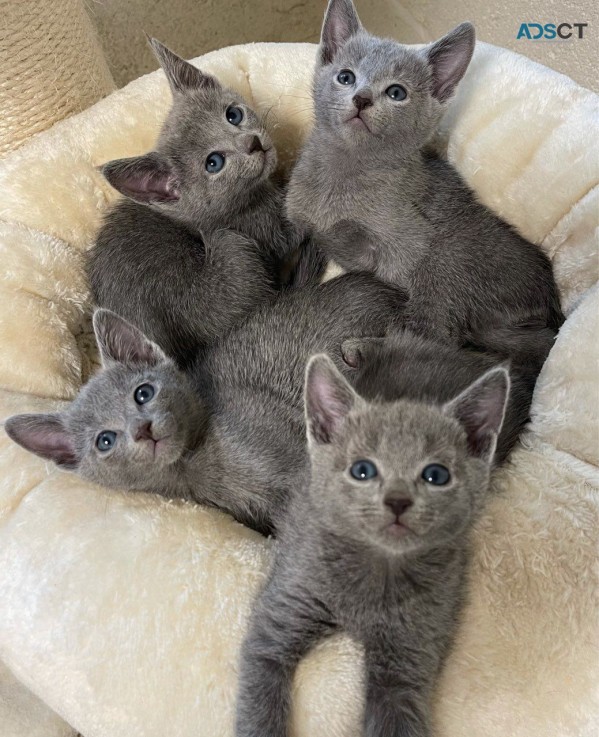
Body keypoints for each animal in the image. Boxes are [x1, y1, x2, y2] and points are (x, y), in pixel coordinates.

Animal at [89, 36, 314, 368]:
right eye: (214, 163)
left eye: (233, 115)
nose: (253, 143)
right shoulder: (259, 228)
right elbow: (292, 220)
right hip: (228, 248)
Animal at [236, 350, 510, 736]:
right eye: (362, 470)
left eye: (436, 475)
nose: (397, 501)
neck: (377, 570)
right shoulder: (286, 606)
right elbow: (260, 689)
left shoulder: (411, 651)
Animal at [288, 0, 564, 368]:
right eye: (345, 77)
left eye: (396, 92)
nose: (361, 98)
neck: (343, 171)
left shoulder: (408, 243)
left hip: (446, 257)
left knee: (439, 337)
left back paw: (361, 349)